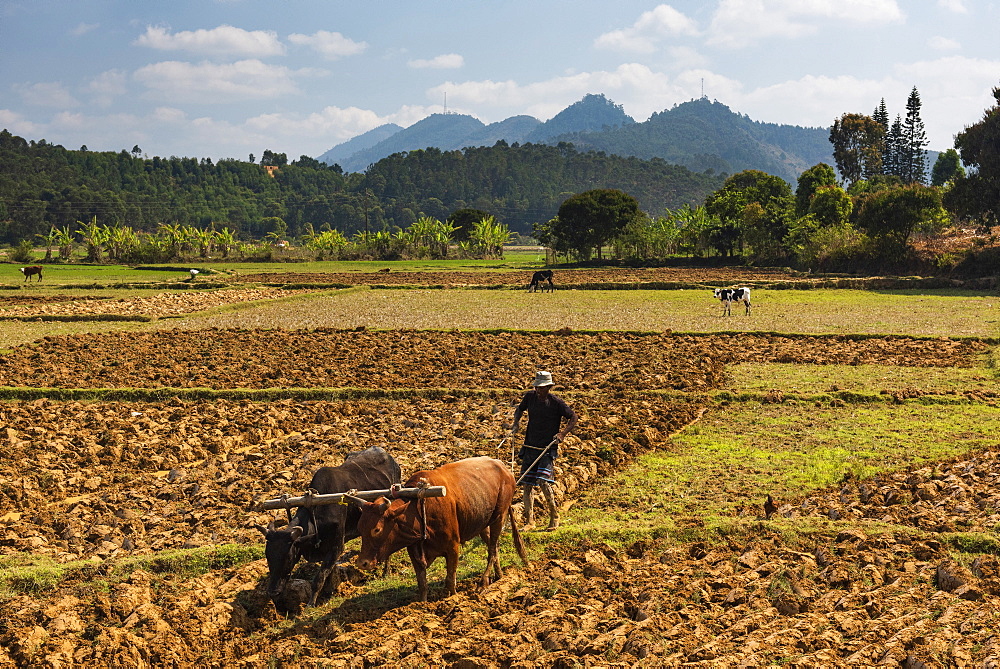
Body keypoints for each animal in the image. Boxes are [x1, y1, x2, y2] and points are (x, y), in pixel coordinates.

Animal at [258, 446, 402, 604]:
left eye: (288, 557)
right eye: (268, 556)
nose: (273, 592)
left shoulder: (336, 547)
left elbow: (319, 579)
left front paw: (311, 603)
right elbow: (329, 573)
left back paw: (386, 571)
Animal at [358, 456, 532, 604]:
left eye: (377, 529)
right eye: (360, 528)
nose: (362, 563)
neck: (419, 507)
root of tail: (503, 468)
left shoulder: (453, 546)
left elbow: (450, 579)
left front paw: (451, 598)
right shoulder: (414, 551)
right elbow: (422, 582)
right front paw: (422, 604)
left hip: (499, 516)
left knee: (492, 549)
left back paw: (483, 582)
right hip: (482, 522)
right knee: (493, 546)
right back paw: (499, 575)